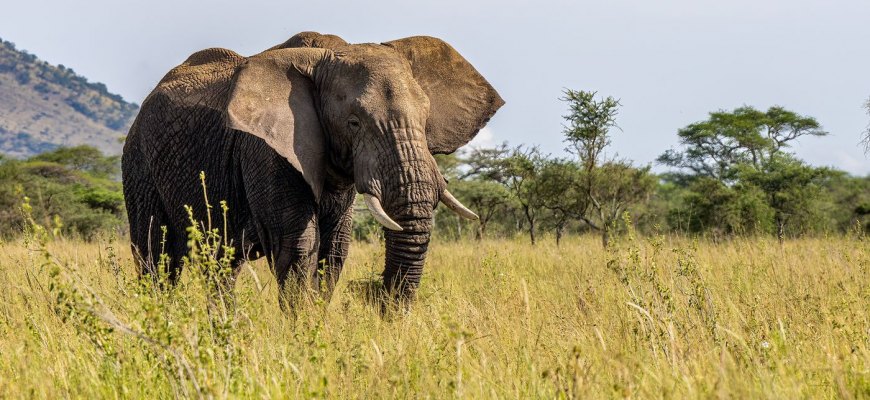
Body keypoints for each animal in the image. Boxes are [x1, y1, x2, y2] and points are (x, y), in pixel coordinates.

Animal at [121, 31, 504, 303]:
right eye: (353, 123)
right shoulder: (265, 151)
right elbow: (297, 247)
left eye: (425, 120)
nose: (378, 301)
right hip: (138, 161)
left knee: (220, 264)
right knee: (157, 257)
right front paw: (303, 338)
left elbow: (334, 250)